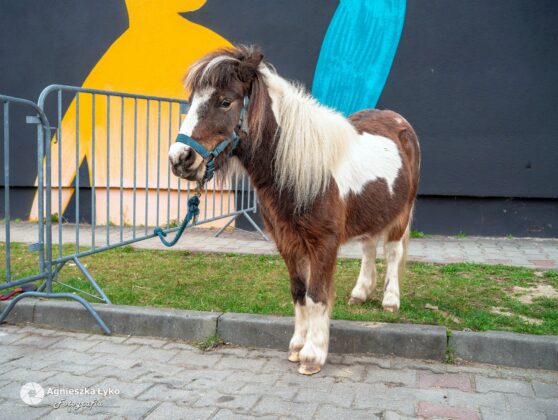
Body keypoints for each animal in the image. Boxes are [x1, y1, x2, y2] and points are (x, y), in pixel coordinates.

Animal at [168, 45, 420, 375]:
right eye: (192, 100)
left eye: (225, 101)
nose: (179, 158)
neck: (303, 172)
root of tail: (399, 121)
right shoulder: (288, 243)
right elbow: (299, 294)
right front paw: (297, 347)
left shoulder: (323, 243)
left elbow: (316, 296)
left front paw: (313, 355)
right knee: (368, 250)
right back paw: (360, 293)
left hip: (400, 215)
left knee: (392, 253)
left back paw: (390, 301)